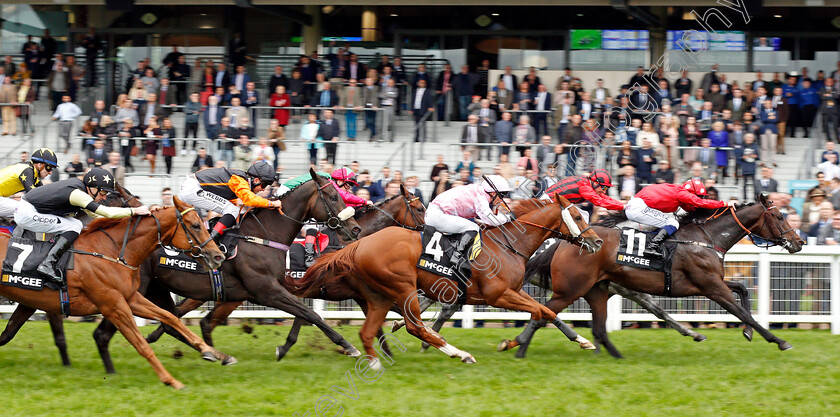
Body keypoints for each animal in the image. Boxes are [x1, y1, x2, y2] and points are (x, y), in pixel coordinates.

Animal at [0, 197, 226, 388]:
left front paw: (212, 352)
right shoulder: (113, 306)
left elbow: (170, 317)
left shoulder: (131, 298)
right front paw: (172, 381)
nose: (218, 256)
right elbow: (141, 344)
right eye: (196, 225)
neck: (112, 252)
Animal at [92, 167, 364, 372]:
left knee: (173, 320)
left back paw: (210, 353)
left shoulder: (267, 287)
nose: (355, 228)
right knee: (111, 331)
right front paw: (350, 347)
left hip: (158, 289)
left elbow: (306, 311)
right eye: (333, 196)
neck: (263, 236)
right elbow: (312, 314)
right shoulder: (267, 291)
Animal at [142, 184, 426, 360]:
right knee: (187, 315)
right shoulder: (292, 290)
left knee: (192, 316)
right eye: (420, 208)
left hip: (222, 293)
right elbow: (311, 315)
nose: (427, 231)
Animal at [306, 193, 600, 366]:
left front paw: (583, 341)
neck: (508, 244)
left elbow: (548, 311)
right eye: (577, 216)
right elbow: (539, 311)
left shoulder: (514, 290)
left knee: (371, 330)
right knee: (415, 326)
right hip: (403, 287)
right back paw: (460, 353)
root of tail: (360, 244)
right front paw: (510, 343)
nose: (597, 242)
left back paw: (377, 360)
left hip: (380, 294)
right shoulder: (498, 295)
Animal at [496, 193, 804, 358]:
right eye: (779, 217)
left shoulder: (711, 282)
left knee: (596, 326)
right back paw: (519, 348)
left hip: (597, 289)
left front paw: (747, 333)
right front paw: (778, 340)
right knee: (542, 314)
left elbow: (743, 289)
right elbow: (740, 311)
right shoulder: (710, 286)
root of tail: (566, 241)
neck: (705, 238)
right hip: (570, 290)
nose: (798, 242)